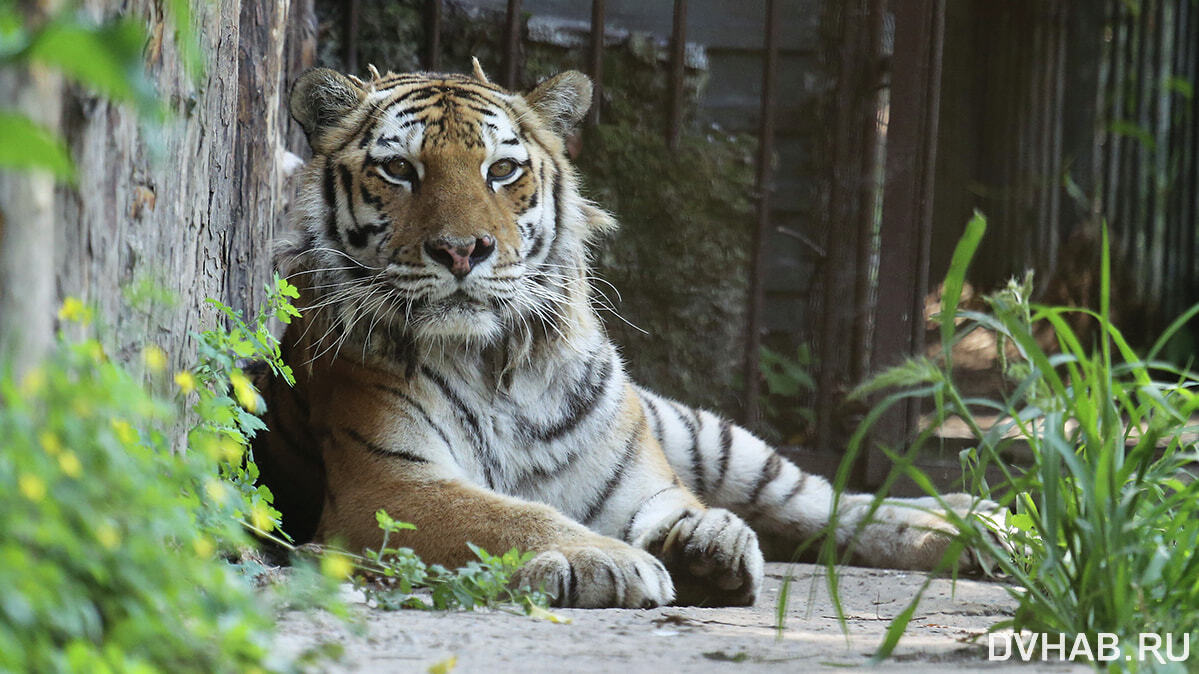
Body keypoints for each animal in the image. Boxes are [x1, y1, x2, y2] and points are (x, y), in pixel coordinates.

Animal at [255, 61, 1002, 609]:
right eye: (399, 170)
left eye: (502, 170)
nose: (462, 252)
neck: (498, 364)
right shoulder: (389, 486)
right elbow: (514, 515)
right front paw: (613, 561)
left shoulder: (643, 482)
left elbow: (686, 507)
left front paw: (709, 544)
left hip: (708, 435)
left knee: (830, 502)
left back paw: (978, 525)